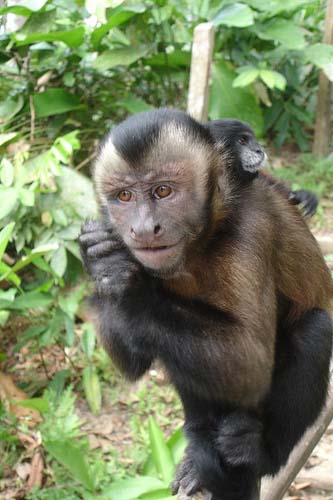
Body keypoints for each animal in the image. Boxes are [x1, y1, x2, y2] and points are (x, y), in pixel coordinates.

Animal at [78, 108, 332, 500]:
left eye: (163, 191)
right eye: (124, 196)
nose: (143, 229)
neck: (204, 237)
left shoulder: (250, 229)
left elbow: (250, 363)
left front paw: (133, 288)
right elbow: (134, 362)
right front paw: (100, 259)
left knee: (314, 329)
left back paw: (260, 453)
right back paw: (200, 446)